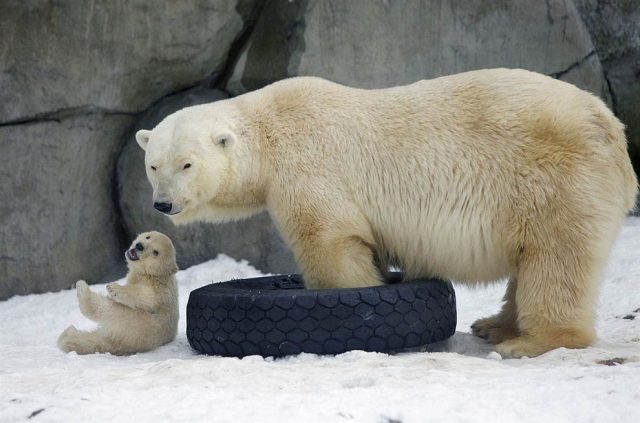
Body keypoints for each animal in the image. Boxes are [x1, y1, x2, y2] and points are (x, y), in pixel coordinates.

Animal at [135, 68, 636, 358]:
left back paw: (530, 341)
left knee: (557, 257)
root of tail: (609, 125)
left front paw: (349, 308)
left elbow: (330, 240)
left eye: (187, 163)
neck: (270, 130)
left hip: (553, 177)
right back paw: (493, 326)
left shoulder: (309, 167)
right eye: (153, 164)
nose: (164, 203)